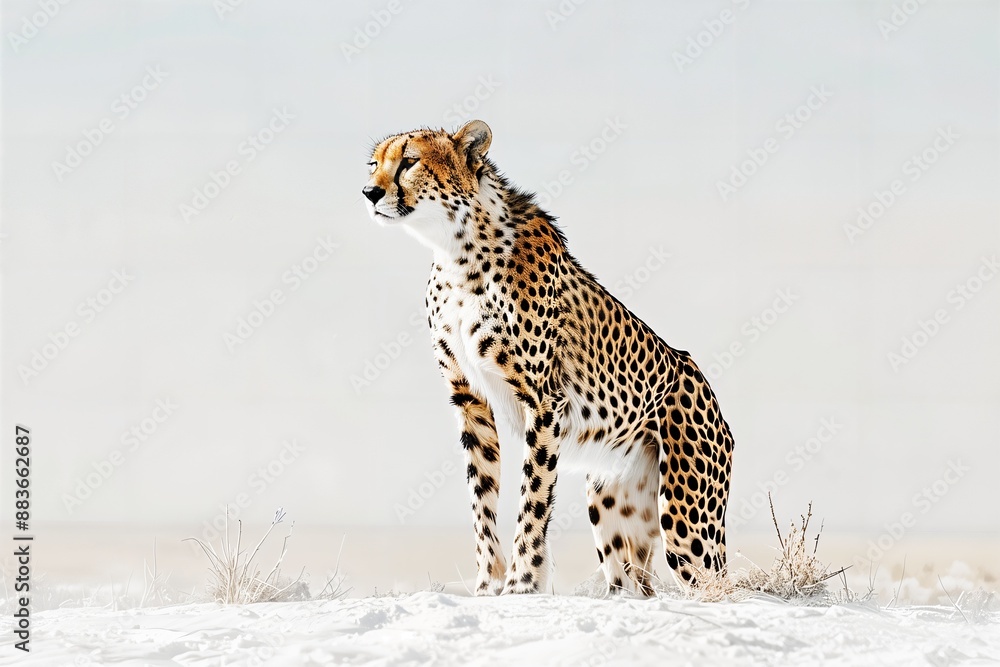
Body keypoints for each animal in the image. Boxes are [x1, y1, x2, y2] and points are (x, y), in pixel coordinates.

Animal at [362, 120, 734, 596]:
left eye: (409, 161)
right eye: (373, 164)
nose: (369, 191)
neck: (454, 247)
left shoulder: (543, 400)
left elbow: (532, 498)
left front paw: (522, 583)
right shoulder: (469, 399)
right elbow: (482, 498)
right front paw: (488, 585)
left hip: (688, 524)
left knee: (716, 584)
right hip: (611, 500)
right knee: (633, 583)